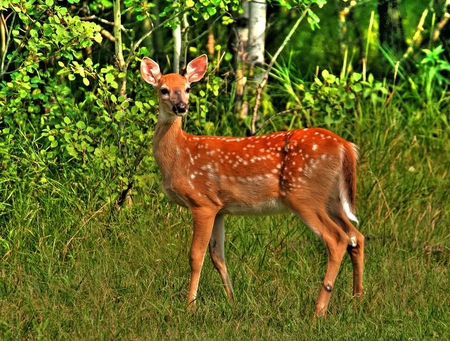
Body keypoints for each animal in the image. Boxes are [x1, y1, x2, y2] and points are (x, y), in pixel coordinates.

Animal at [142, 53, 366, 316]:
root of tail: (345, 146)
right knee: (356, 236)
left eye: (187, 88)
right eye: (164, 90)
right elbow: (218, 257)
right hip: (331, 199)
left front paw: (190, 305)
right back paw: (357, 299)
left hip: (304, 196)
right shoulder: (219, 208)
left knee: (337, 239)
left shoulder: (201, 202)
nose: (181, 107)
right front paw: (232, 300)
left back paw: (318, 310)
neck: (179, 156)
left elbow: (196, 255)